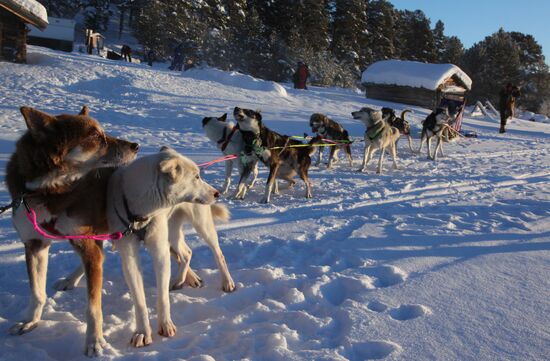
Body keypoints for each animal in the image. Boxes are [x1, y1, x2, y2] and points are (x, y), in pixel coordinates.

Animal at [6, 105, 139, 356]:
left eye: (102, 131)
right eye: (95, 136)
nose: (135, 145)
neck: (49, 189)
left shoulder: (84, 241)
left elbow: (93, 307)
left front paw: (94, 341)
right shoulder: (35, 245)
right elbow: (37, 293)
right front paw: (31, 321)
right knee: (98, 256)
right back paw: (70, 279)